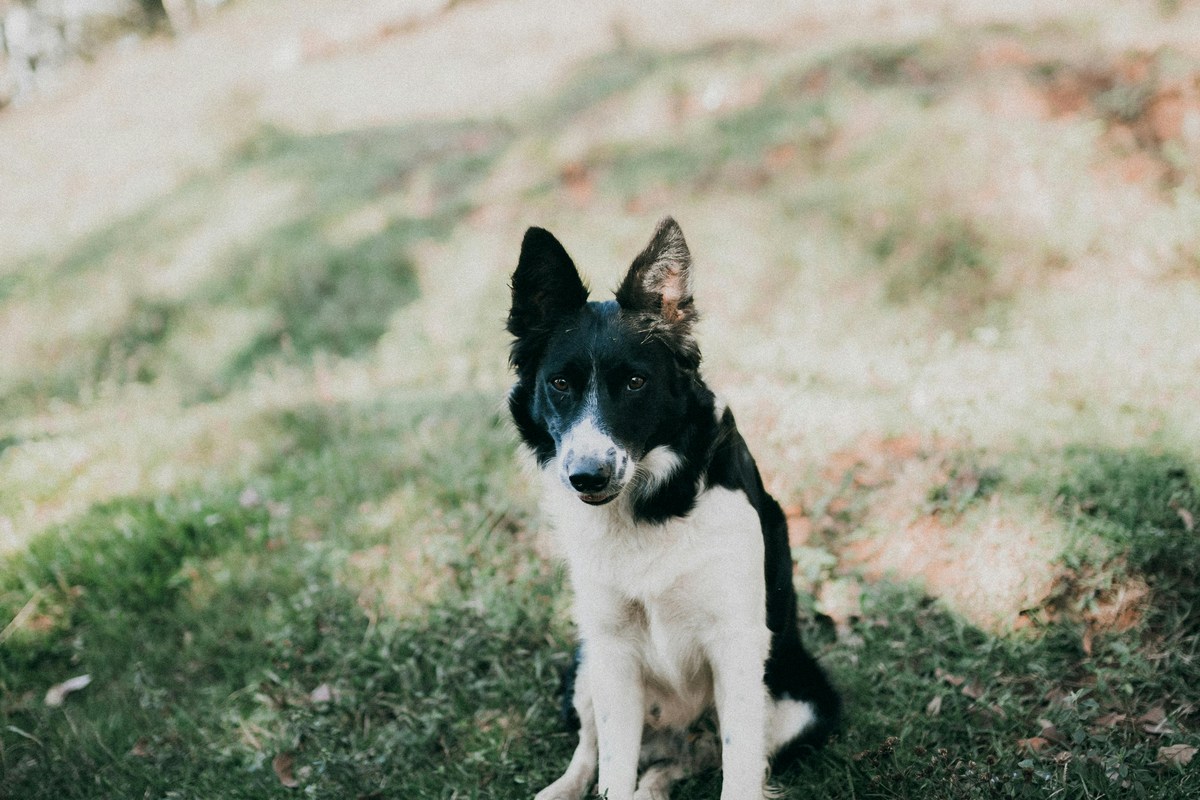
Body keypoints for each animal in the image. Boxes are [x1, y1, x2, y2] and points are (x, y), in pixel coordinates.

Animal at [504, 219, 835, 800]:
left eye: (636, 382)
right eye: (559, 383)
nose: (586, 476)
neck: (650, 504)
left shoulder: (738, 641)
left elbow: (740, 768)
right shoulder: (612, 647)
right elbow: (612, 768)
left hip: (800, 703)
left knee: (692, 760)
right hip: (586, 663)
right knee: (595, 749)